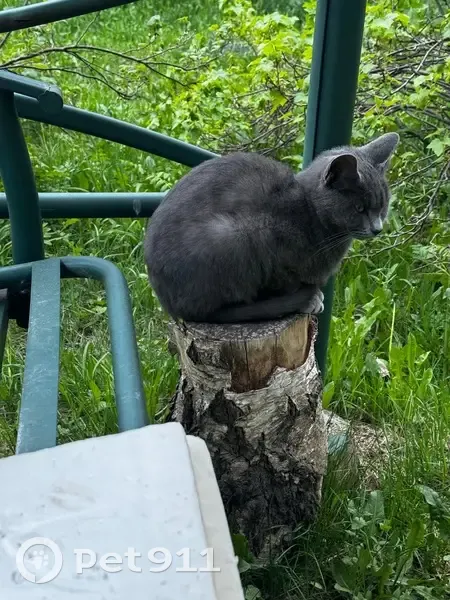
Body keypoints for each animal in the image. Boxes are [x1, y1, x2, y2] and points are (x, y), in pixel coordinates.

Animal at [144, 132, 399, 324]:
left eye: (383, 205)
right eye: (359, 208)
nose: (377, 228)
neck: (311, 211)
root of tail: (168, 304)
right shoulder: (271, 242)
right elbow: (284, 282)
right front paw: (310, 299)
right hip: (230, 236)